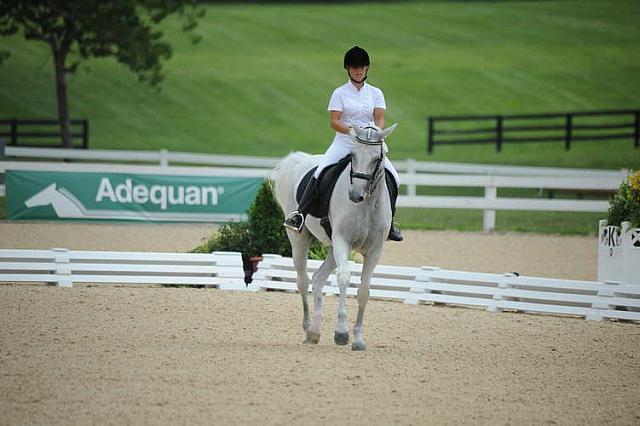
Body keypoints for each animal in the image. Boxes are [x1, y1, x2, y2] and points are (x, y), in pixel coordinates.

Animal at [272, 123, 400, 350]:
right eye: (353, 155)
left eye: (377, 158)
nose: (355, 195)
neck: (367, 204)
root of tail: (298, 160)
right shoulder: (343, 241)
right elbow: (344, 279)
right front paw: (341, 332)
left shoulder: (375, 249)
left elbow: (364, 290)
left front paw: (358, 339)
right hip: (300, 239)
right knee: (303, 280)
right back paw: (308, 328)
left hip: (332, 248)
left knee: (318, 278)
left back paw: (315, 331)